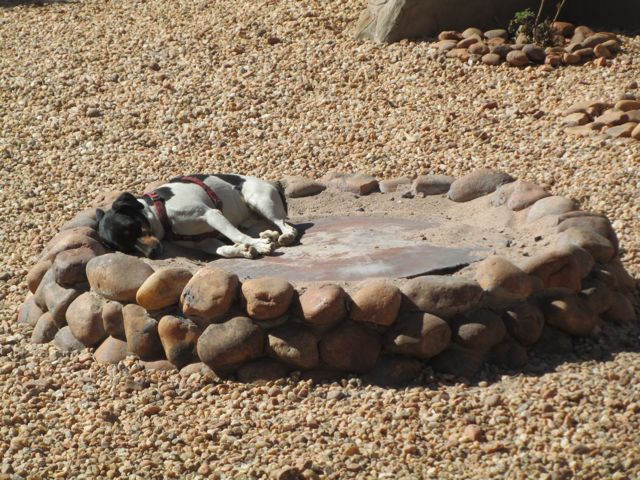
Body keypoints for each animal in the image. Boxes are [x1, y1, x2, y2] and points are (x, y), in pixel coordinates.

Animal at [95, 174, 300, 258]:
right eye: (126, 249)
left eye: (133, 228)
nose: (152, 254)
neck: (161, 212)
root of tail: (272, 184)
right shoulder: (201, 241)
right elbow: (222, 250)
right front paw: (244, 250)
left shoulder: (212, 215)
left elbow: (236, 236)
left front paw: (258, 245)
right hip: (251, 219)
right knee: (262, 228)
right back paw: (268, 235)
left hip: (260, 200)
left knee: (285, 225)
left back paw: (284, 236)